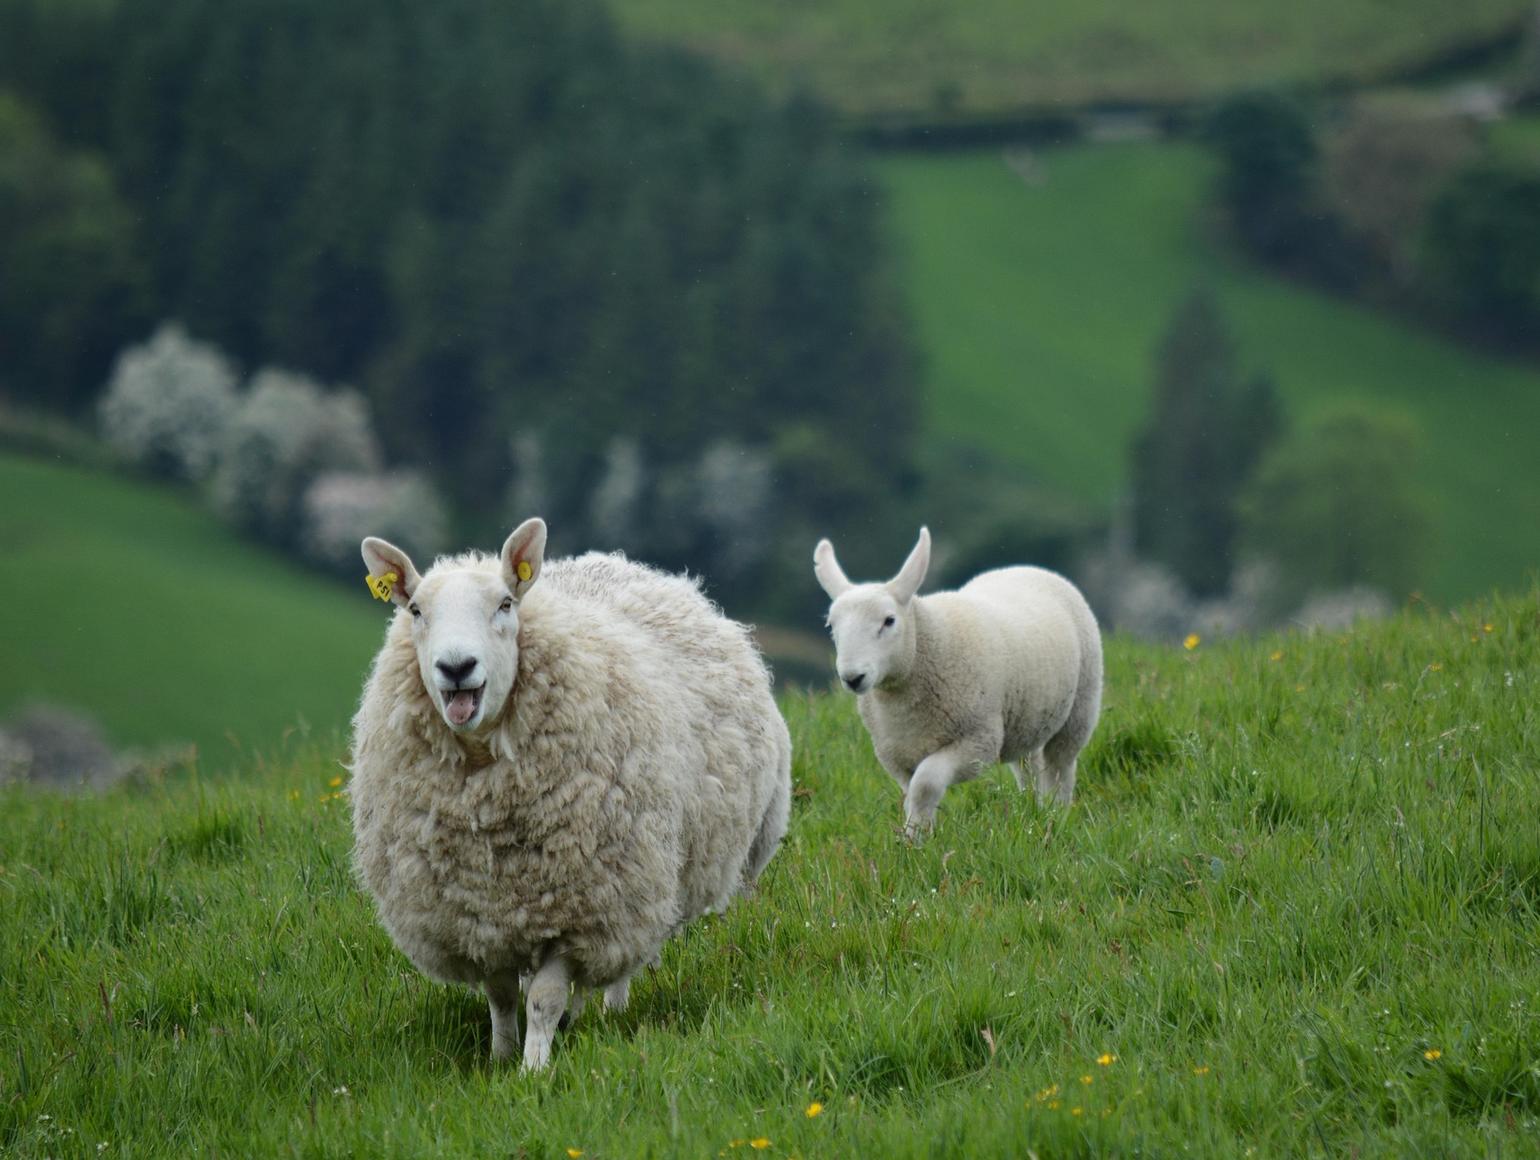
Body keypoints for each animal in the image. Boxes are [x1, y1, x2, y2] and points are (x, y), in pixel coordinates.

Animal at [349, 517, 791, 1070]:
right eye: (415, 610)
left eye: (505, 604)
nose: (456, 667)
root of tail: (621, 564)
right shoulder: (477, 916)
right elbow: (501, 996)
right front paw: (500, 1059)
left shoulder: (581, 907)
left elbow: (543, 997)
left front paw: (533, 1069)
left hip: (644, 879)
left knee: (625, 957)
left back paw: (609, 1012)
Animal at [813, 527, 1101, 838]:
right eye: (831, 626)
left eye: (889, 621)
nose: (853, 677)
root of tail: (1025, 568)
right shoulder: (895, 756)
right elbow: (911, 794)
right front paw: (918, 833)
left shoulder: (977, 741)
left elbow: (926, 783)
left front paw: (914, 837)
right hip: (1027, 717)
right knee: (1029, 765)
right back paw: (1033, 812)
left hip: (1080, 708)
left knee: (1060, 767)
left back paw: (1055, 814)